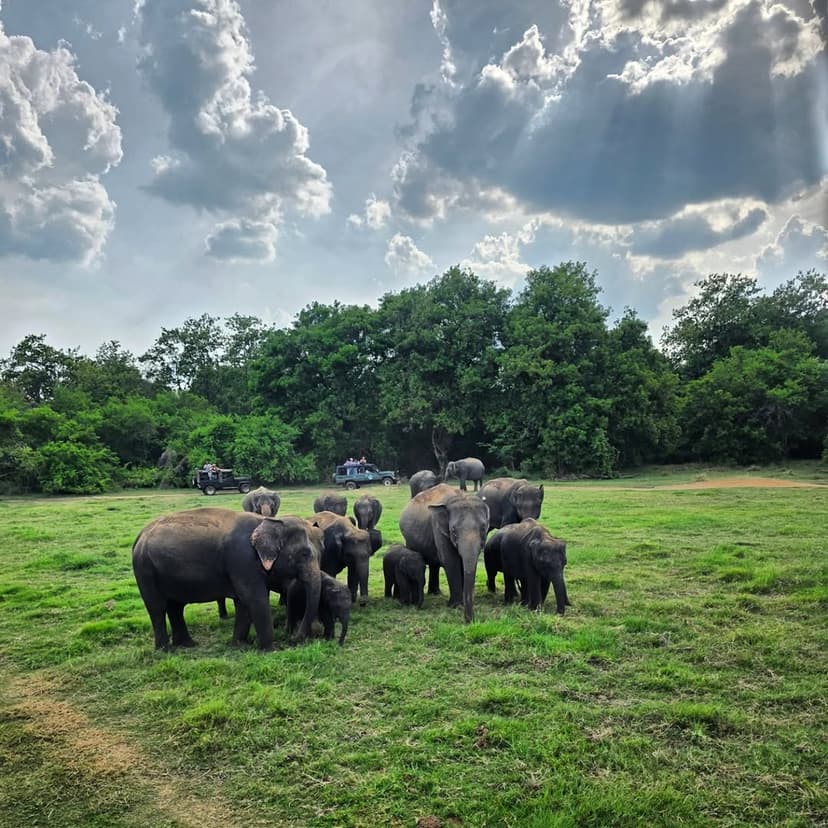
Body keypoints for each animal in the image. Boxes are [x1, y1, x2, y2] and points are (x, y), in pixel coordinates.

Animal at [132, 509, 321, 650]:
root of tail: (139, 536)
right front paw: (270, 650)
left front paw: (240, 645)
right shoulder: (243, 560)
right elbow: (255, 599)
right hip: (145, 570)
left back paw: (187, 644)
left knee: (175, 606)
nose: (293, 639)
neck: (269, 521)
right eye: (304, 554)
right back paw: (166, 650)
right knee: (157, 608)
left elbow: (243, 603)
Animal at [399, 483, 490, 622]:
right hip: (409, 539)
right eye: (453, 531)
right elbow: (450, 561)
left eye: (483, 529)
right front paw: (456, 606)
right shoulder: (439, 529)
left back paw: (435, 593)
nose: (470, 621)